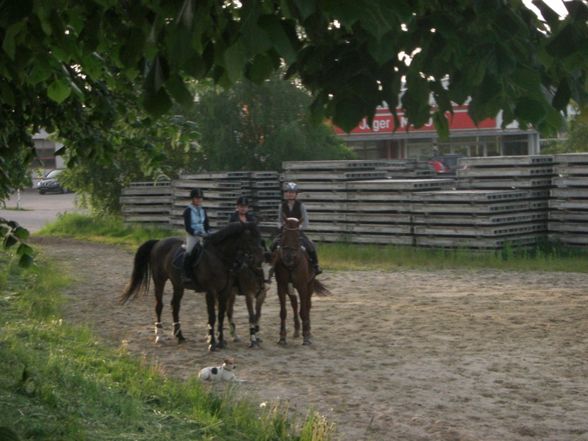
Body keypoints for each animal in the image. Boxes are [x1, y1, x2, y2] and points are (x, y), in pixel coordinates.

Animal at [119, 223, 264, 350]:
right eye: (250, 238)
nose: (262, 255)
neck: (219, 258)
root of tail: (159, 242)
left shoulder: (225, 291)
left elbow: (221, 316)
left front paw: (221, 342)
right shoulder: (211, 291)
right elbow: (212, 316)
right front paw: (212, 343)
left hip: (178, 285)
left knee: (175, 306)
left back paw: (180, 336)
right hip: (159, 280)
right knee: (159, 306)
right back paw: (159, 336)